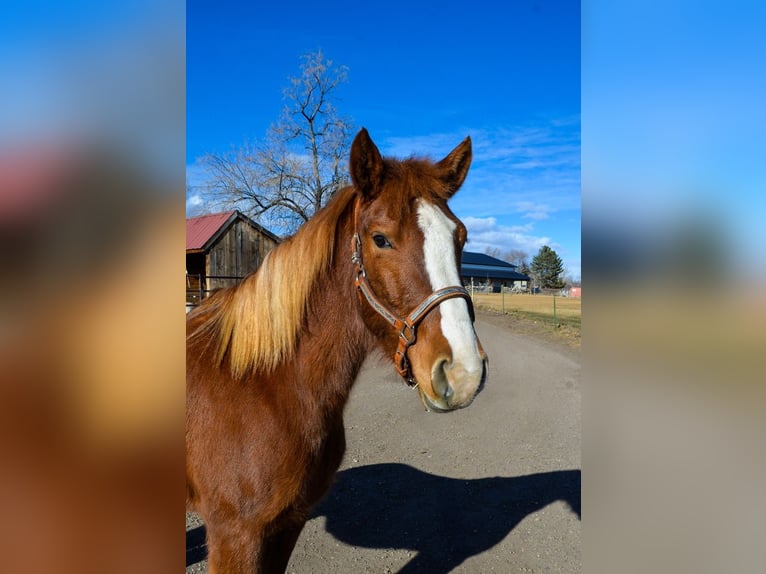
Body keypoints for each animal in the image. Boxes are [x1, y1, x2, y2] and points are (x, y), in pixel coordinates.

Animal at [186, 128, 488, 573]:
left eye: (460, 237)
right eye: (380, 239)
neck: (268, 384)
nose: (462, 373)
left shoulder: (287, 524)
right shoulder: (234, 536)